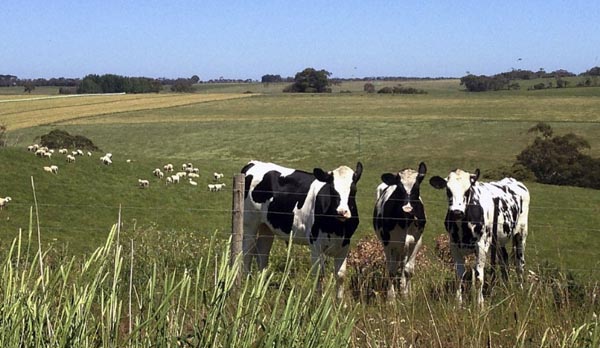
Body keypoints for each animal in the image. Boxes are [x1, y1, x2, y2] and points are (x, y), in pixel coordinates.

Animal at [241, 160, 364, 300]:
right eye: (332, 189)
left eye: (353, 190)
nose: (342, 212)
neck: (337, 228)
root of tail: (253, 163)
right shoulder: (316, 245)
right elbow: (319, 275)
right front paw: (318, 301)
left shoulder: (344, 245)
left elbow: (341, 275)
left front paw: (339, 303)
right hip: (250, 223)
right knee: (247, 252)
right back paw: (247, 282)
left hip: (266, 227)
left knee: (262, 253)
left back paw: (261, 285)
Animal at [370, 162, 426, 300]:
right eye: (399, 187)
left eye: (417, 187)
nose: (407, 208)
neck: (405, 221)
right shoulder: (388, 243)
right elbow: (391, 270)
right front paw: (391, 298)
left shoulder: (417, 242)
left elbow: (408, 270)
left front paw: (406, 295)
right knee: (396, 265)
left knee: (403, 266)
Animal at [428, 170, 532, 306]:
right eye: (448, 190)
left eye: (468, 190)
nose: (457, 212)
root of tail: (514, 181)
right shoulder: (454, 245)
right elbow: (459, 275)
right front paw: (458, 303)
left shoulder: (481, 246)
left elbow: (478, 277)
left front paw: (479, 304)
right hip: (498, 239)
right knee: (504, 260)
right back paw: (506, 288)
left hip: (521, 234)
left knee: (520, 264)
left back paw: (520, 290)